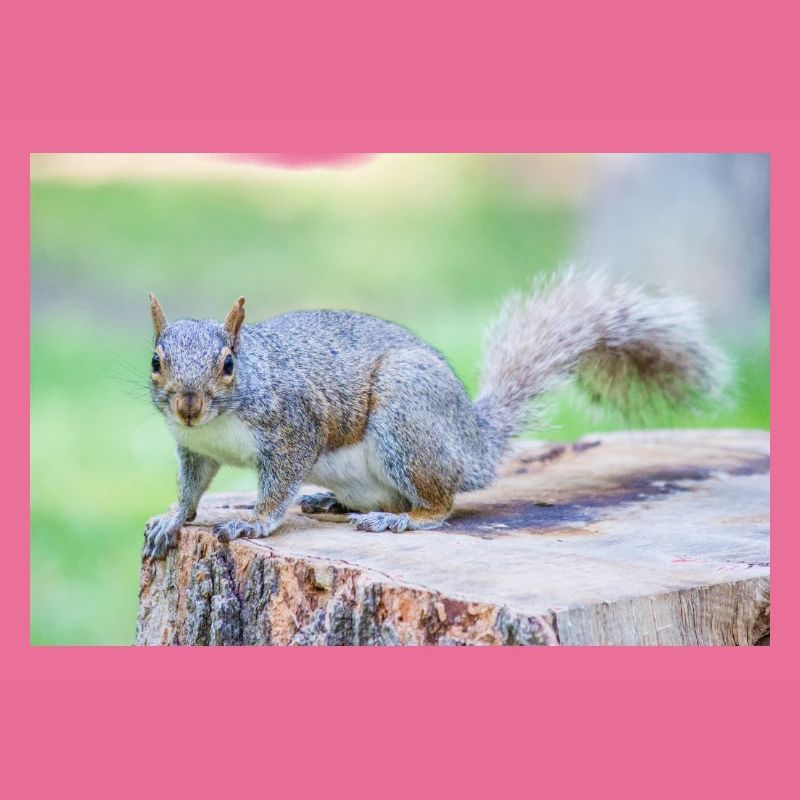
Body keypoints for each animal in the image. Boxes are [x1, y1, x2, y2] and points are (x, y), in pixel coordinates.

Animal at [143, 269, 729, 559]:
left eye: (228, 364)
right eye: (155, 361)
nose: (188, 405)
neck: (219, 423)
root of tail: (473, 444)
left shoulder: (293, 430)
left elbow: (276, 485)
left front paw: (254, 522)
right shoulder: (193, 449)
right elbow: (192, 489)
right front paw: (172, 520)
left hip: (407, 418)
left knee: (441, 504)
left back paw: (400, 518)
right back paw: (331, 501)